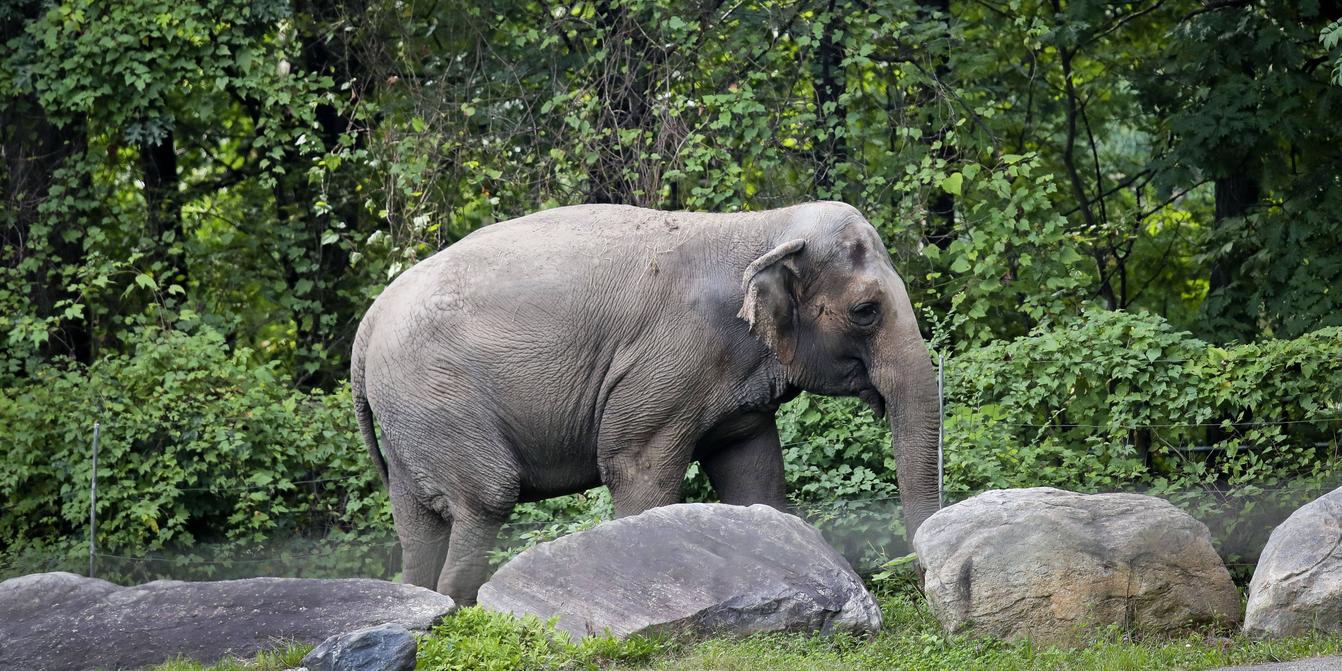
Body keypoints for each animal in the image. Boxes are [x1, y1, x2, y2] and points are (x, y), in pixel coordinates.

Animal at [350, 201, 940, 604]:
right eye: (865, 311)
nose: (919, 580)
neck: (761, 227)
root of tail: (368, 323)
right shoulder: (668, 363)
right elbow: (637, 470)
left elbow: (754, 476)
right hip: (439, 397)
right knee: (485, 499)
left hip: (409, 416)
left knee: (417, 523)